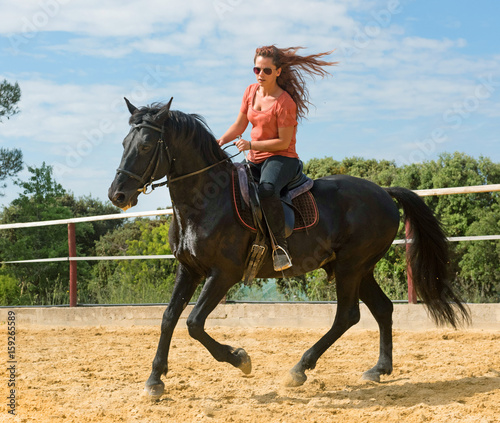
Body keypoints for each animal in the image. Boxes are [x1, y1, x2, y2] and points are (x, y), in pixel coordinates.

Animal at [107, 98, 470, 398]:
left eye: (145, 145)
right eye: (124, 143)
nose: (117, 194)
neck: (206, 199)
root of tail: (383, 191)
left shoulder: (223, 274)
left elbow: (194, 322)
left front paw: (240, 359)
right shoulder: (190, 269)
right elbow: (169, 317)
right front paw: (155, 380)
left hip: (351, 266)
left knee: (347, 315)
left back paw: (299, 370)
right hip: (358, 268)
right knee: (382, 309)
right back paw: (379, 369)